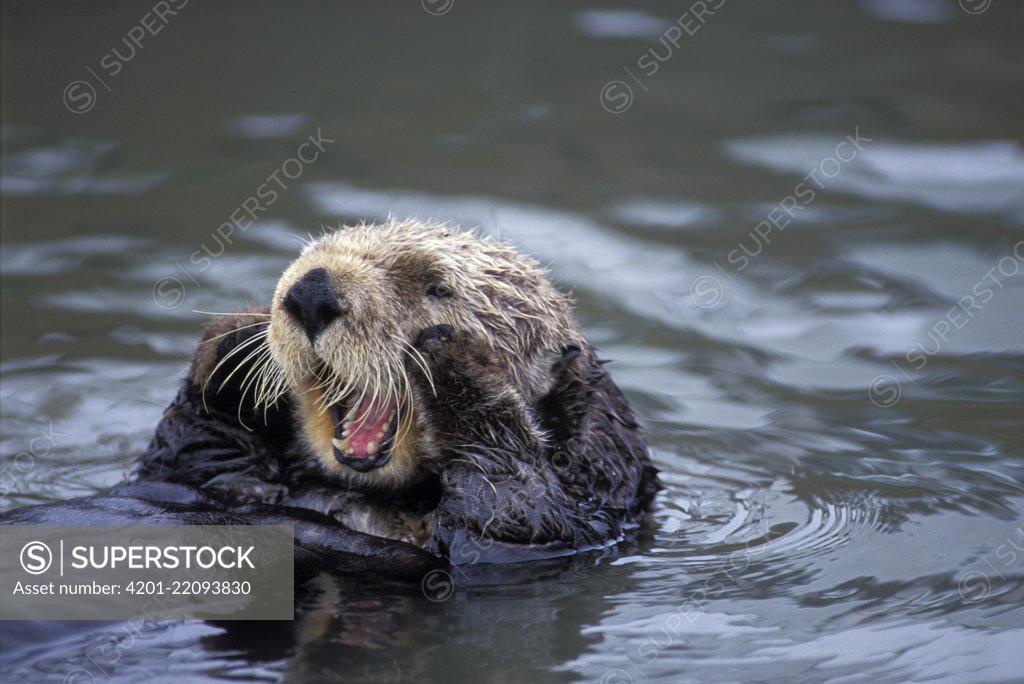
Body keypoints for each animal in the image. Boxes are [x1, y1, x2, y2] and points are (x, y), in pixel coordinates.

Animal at [2, 219, 655, 577]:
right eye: (308, 254)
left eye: (437, 287)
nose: (311, 289)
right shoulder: (201, 477)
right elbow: (192, 448)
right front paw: (234, 341)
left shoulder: (555, 526)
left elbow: (511, 508)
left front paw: (456, 358)